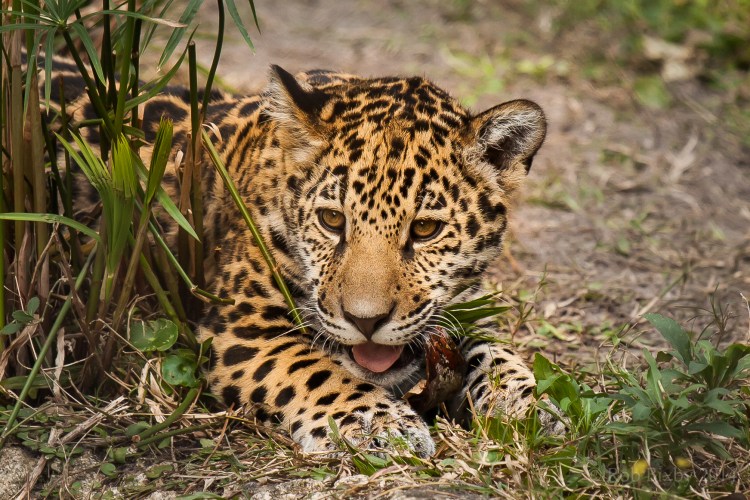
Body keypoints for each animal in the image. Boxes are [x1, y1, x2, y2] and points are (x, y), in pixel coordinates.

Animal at [44, 58, 552, 457]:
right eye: (331, 220)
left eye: (425, 229)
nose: (366, 321)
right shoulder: (240, 328)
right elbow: (315, 370)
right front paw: (381, 424)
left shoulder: (462, 307)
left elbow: (495, 352)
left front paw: (531, 406)